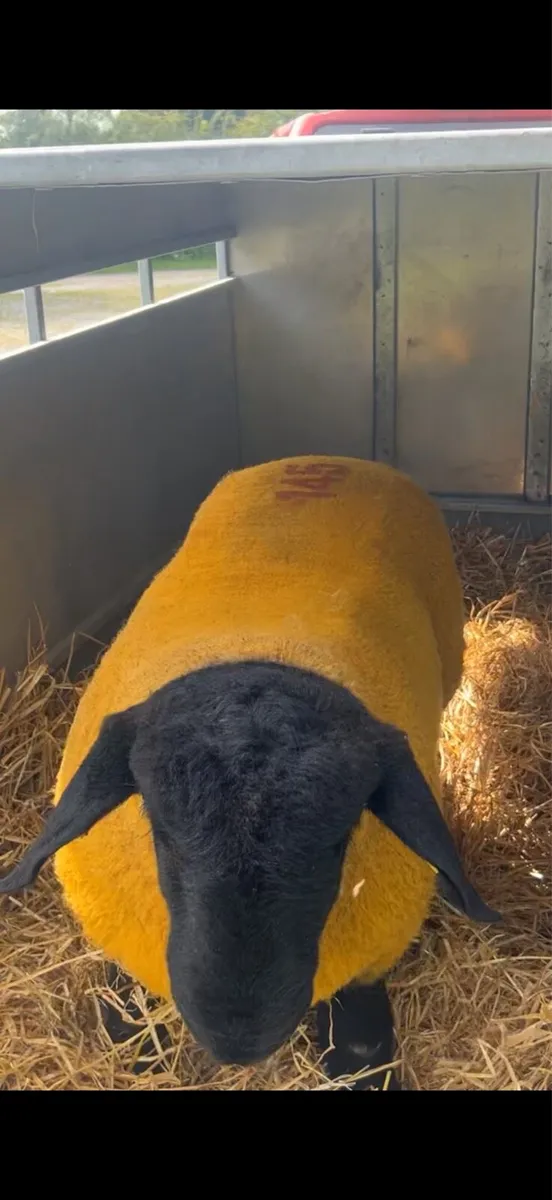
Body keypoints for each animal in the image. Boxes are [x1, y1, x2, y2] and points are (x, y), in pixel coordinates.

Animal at [0, 456, 499, 1088]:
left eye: (340, 838)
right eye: (160, 828)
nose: (238, 1037)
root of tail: (328, 460)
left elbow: (360, 1041)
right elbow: (126, 1018)